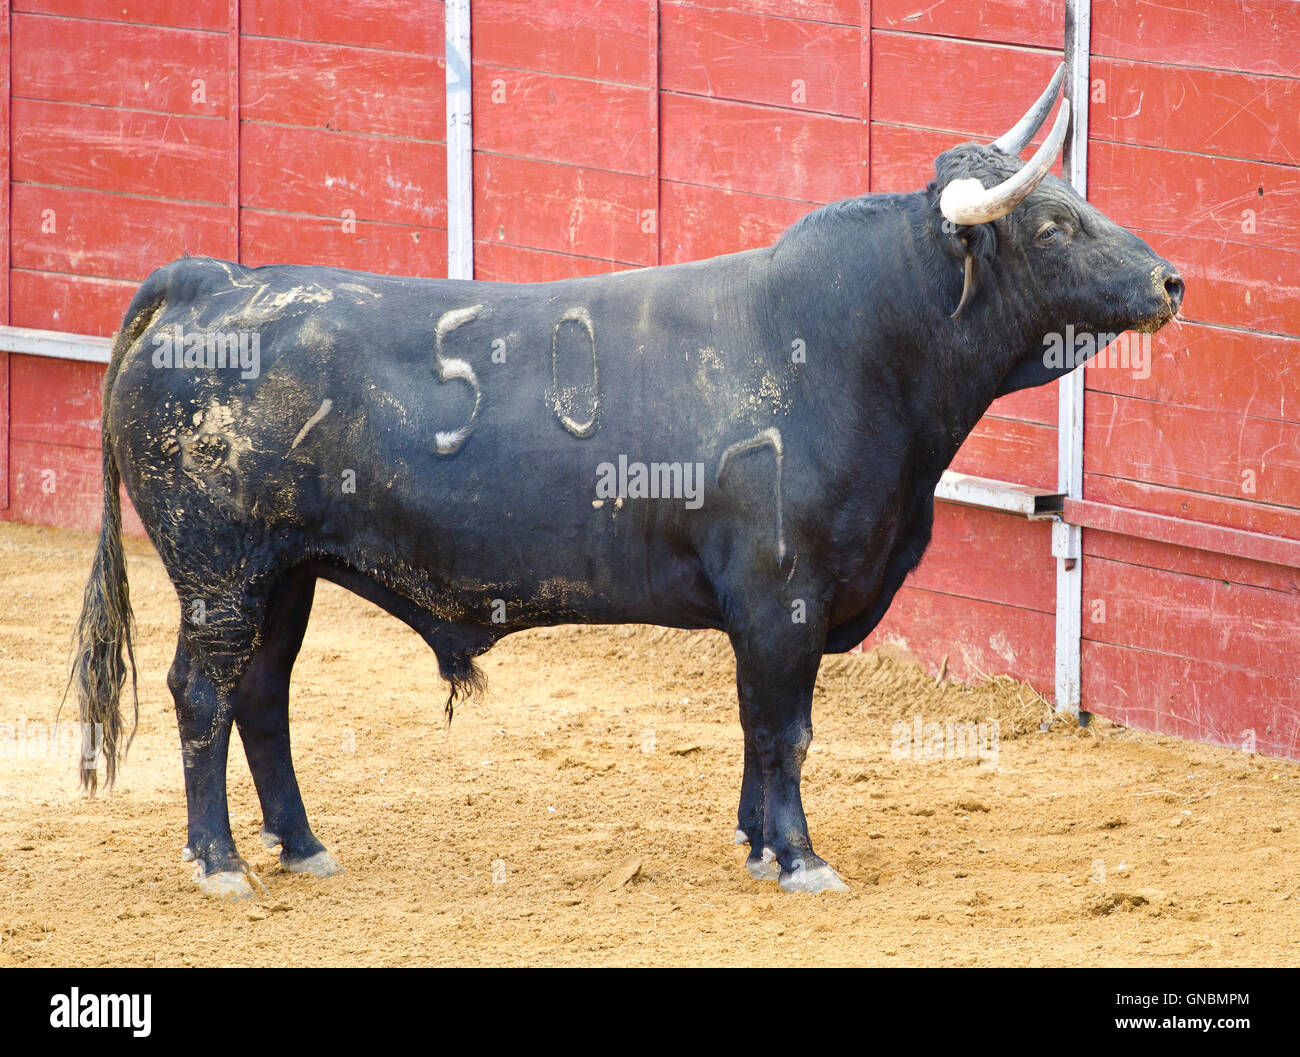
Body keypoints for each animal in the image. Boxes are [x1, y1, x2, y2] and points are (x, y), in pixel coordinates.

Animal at [73, 78, 1190, 894]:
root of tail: (211, 280)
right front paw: (800, 858)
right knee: (202, 691)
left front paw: (755, 843)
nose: (1169, 280)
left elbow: (756, 728)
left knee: (262, 693)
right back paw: (219, 862)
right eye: (1051, 228)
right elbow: (784, 728)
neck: (854, 344)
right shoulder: (783, 597)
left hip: (287, 572)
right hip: (220, 573)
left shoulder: (769, 610)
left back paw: (301, 846)